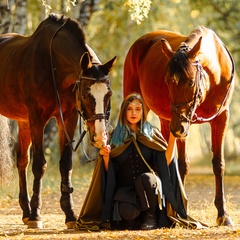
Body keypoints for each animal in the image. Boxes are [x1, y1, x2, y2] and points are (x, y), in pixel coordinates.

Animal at [0, 13, 116, 229]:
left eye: (109, 94)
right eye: (85, 94)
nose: (99, 135)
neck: (53, 65)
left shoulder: (67, 118)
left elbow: (65, 164)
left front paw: (69, 214)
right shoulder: (38, 118)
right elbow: (39, 165)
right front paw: (36, 215)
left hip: (23, 122)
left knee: (21, 161)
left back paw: (25, 211)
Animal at [124, 26, 234, 227]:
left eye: (190, 81)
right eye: (167, 81)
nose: (177, 128)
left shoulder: (221, 118)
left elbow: (218, 163)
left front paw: (223, 214)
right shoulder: (183, 124)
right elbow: (183, 165)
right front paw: (180, 212)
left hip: (167, 120)